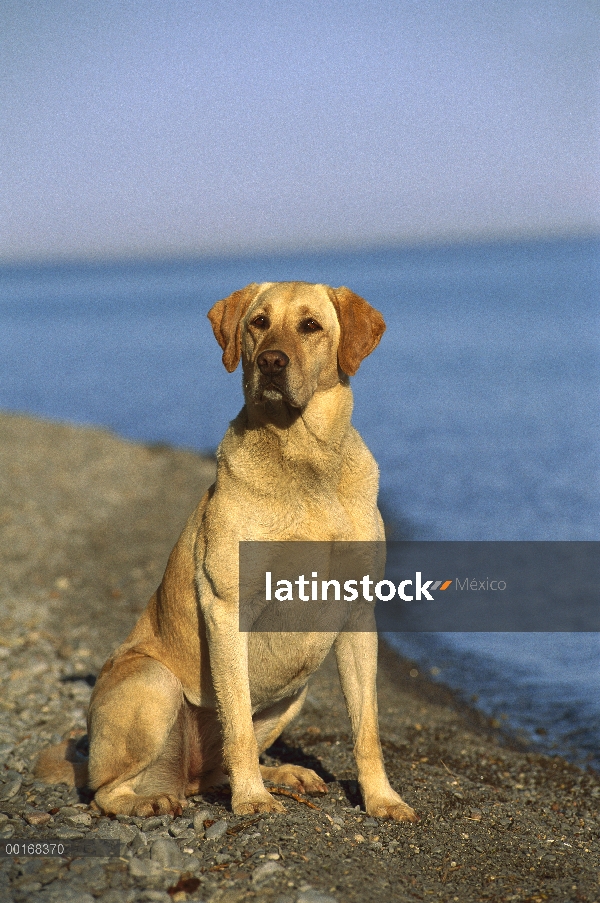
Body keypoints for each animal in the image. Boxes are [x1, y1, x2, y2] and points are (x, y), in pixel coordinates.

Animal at [34, 284, 418, 828]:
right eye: (258, 322)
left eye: (310, 326)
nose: (272, 361)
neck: (303, 457)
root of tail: (183, 776)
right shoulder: (229, 609)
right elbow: (235, 716)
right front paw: (252, 800)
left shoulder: (359, 616)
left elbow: (367, 729)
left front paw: (382, 799)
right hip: (153, 684)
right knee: (105, 788)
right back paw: (152, 799)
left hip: (293, 694)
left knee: (220, 767)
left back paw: (281, 773)